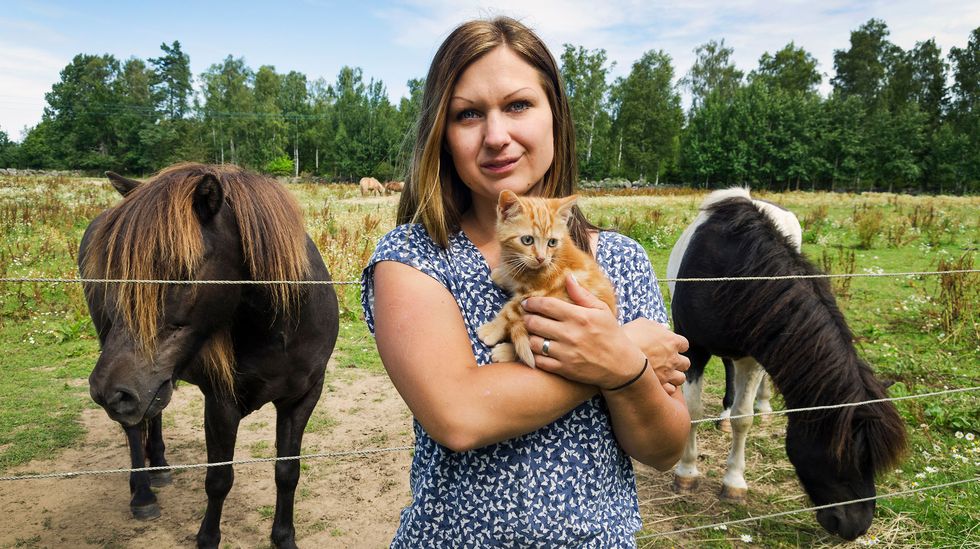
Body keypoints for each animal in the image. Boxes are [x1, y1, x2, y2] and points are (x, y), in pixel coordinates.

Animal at [80, 164, 340, 548]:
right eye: (116, 276)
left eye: (182, 272)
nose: (108, 391)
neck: (278, 330)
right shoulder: (220, 404)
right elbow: (219, 480)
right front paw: (207, 538)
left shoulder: (303, 398)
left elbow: (287, 471)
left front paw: (283, 537)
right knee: (134, 425)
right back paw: (142, 494)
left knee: (151, 411)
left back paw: (159, 466)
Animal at [478, 191, 616, 366]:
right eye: (527, 240)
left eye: (552, 242)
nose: (541, 258)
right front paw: (502, 274)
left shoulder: (537, 293)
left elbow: (510, 311)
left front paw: (492, 329)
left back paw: (504, 352)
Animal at [664, 188, 908, 540]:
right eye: (844, 456)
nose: (857, 527)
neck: (732, 270)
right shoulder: (692, 346)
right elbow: (692, 413)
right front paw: (686, 473)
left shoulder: (754, 353)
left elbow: (743, 419)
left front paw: (734, 483)